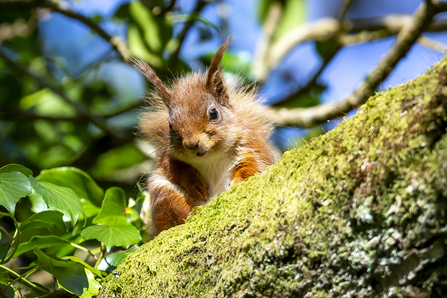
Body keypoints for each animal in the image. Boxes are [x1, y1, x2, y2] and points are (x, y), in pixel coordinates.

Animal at [132, 39, 276, 235]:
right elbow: (172, 168)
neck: (211, 158)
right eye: (170, 126)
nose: (192, 144)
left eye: (213, 113)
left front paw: (238, 182)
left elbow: (254, 166)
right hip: (164, 192)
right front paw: (192, 181)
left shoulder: (250, 145)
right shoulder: (168, 158)